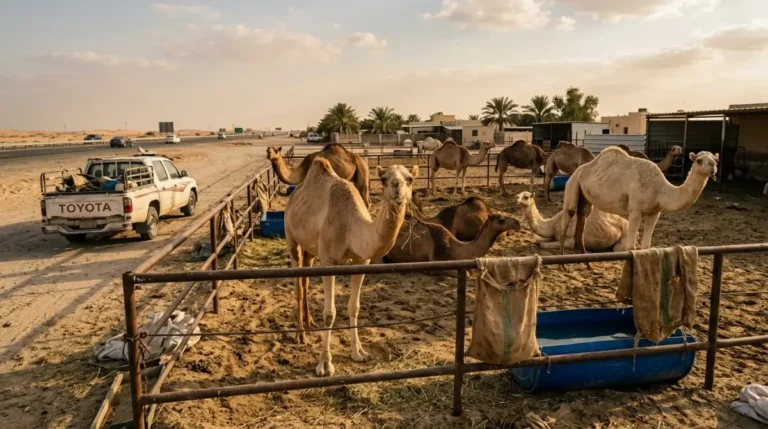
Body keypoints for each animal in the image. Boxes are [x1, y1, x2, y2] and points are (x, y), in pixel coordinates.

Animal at [285, 158, 417, 376]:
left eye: (410, 178)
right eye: (383, 178)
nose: (397, 186)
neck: (350, 227)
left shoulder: (361, 261)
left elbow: (354, 307)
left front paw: (359, 353)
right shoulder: (328, 261)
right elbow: (329, 313)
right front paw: (325, 364)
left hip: (310, 249)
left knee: (305, 280)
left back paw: (309, 322)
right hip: (291, 237)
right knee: (298, 286)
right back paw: (300, 336)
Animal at [559, 148, 718, 258]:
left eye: (715, 160)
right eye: (699, 160)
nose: (712, 167)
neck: (659, 189)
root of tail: (579, 170)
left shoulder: (655, 212)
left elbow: (646, 245)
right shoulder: (635, 210)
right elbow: (630, 247)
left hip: (584, 195)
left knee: (582, 215)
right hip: (572, 183)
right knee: (569, 214)